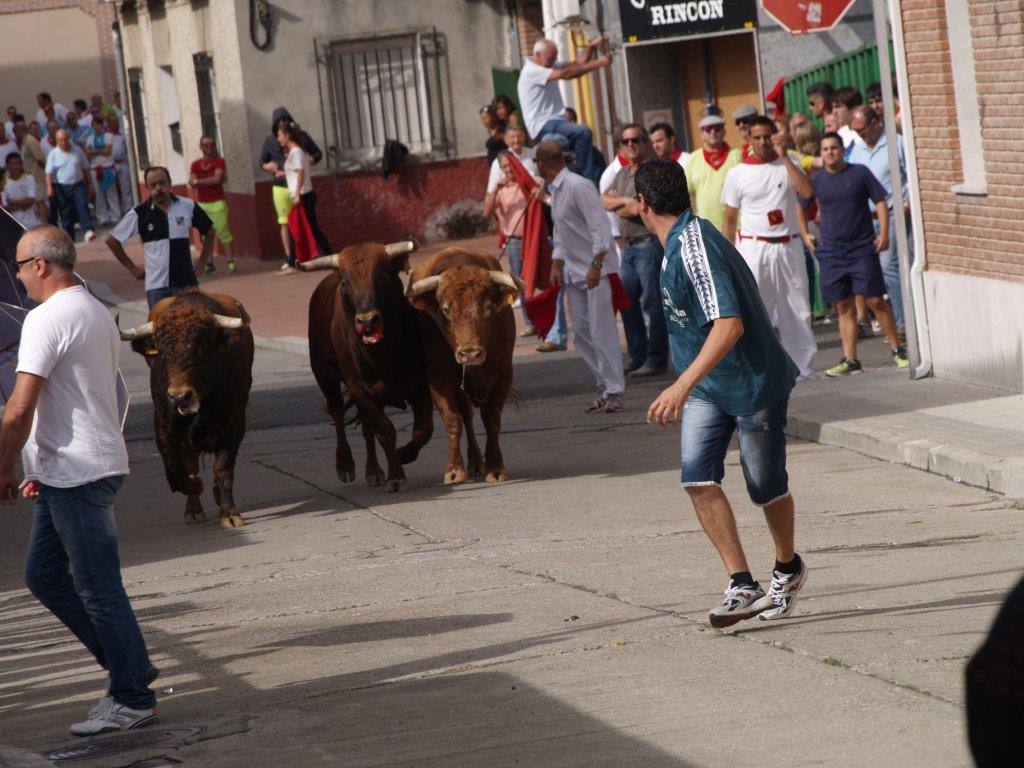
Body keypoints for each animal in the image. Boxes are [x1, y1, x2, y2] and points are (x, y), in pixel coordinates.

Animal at [119, 288, 253, 528]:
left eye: (202, 347)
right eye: (161, 351)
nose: (180, 396)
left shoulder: (236, 423)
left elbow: (223, 470)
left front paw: (229, 513)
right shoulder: (163, 426)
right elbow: (177, 472)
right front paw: (196, 489)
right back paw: (193, 509)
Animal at [301, 240, 434, 493]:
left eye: (381, 276)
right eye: (345, 283)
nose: (367, 321)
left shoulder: (420, 385)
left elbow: (423, 429)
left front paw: (403, 455)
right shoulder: (358, 388)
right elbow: (385, 431)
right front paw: (396, 475)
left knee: (366, 428)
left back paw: (373, 471)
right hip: (324, 376)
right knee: (338, 413)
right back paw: (346, 464)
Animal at [405, 249, 520, 483]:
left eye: (487, 307)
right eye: (445, 309)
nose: (469, 352)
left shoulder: (503, 374)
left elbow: (491, 420)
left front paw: (495, 467)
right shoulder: (439, 380)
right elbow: (453, 421)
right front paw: (454, 470)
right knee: (466, 417)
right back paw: (474, 461)